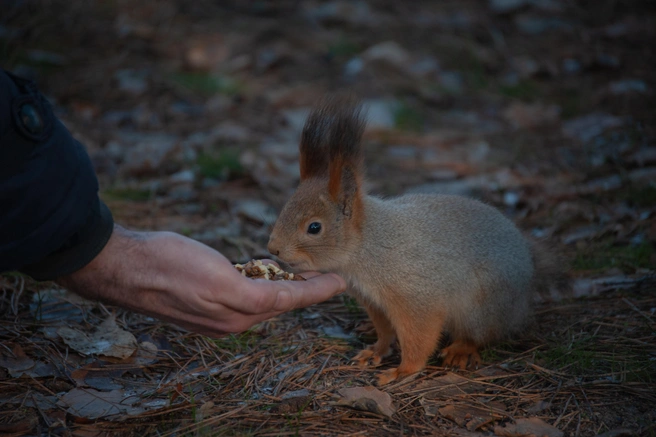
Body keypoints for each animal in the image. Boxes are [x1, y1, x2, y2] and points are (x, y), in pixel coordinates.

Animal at [266, 96, 560, 384]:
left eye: (314, 227)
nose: (273, 249)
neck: (368, 247)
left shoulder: (416, 296)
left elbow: (420, 336)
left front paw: (403, 371)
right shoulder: (374, 301)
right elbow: (385, 330)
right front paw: (376, 350)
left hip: (482, 308)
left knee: (483, 335)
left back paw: (461, 350)